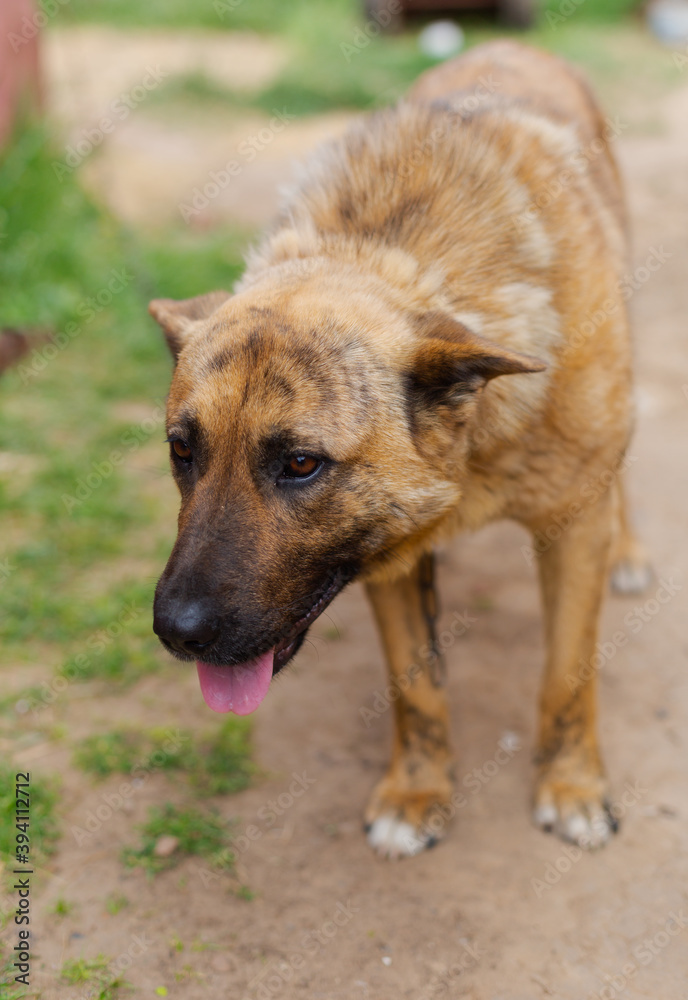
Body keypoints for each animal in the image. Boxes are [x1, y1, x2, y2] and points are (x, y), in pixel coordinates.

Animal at [150, 41, 652, 860]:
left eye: (300, 464)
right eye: (181, 451)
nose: (177, 633)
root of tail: (508, 44)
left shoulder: (572, 531)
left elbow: (568, 677)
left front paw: (573, 787)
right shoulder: (385, 557)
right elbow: (416, 688)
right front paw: (417, 794)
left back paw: (631, 549)